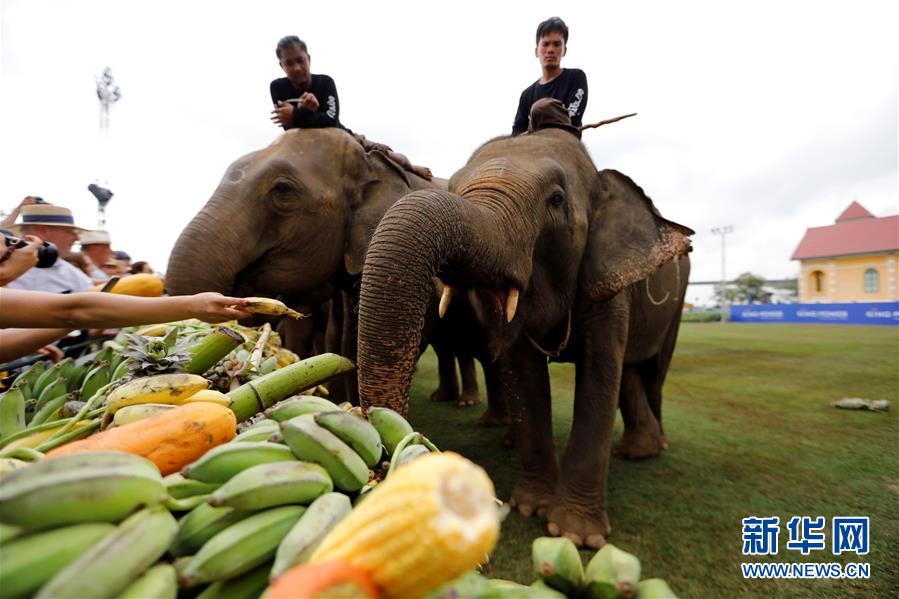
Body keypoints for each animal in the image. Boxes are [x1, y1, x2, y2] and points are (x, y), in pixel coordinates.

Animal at [356, 126, 692, 548]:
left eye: (556, 200)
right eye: (455, 188)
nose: (391, 460)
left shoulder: (609, 286)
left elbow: (599, 376)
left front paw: (576, 535)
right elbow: (525, 373)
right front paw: (531, 508)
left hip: (677, 304)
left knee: (653, 371)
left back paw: (651, 449)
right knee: (630, 371)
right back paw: (636, 450)